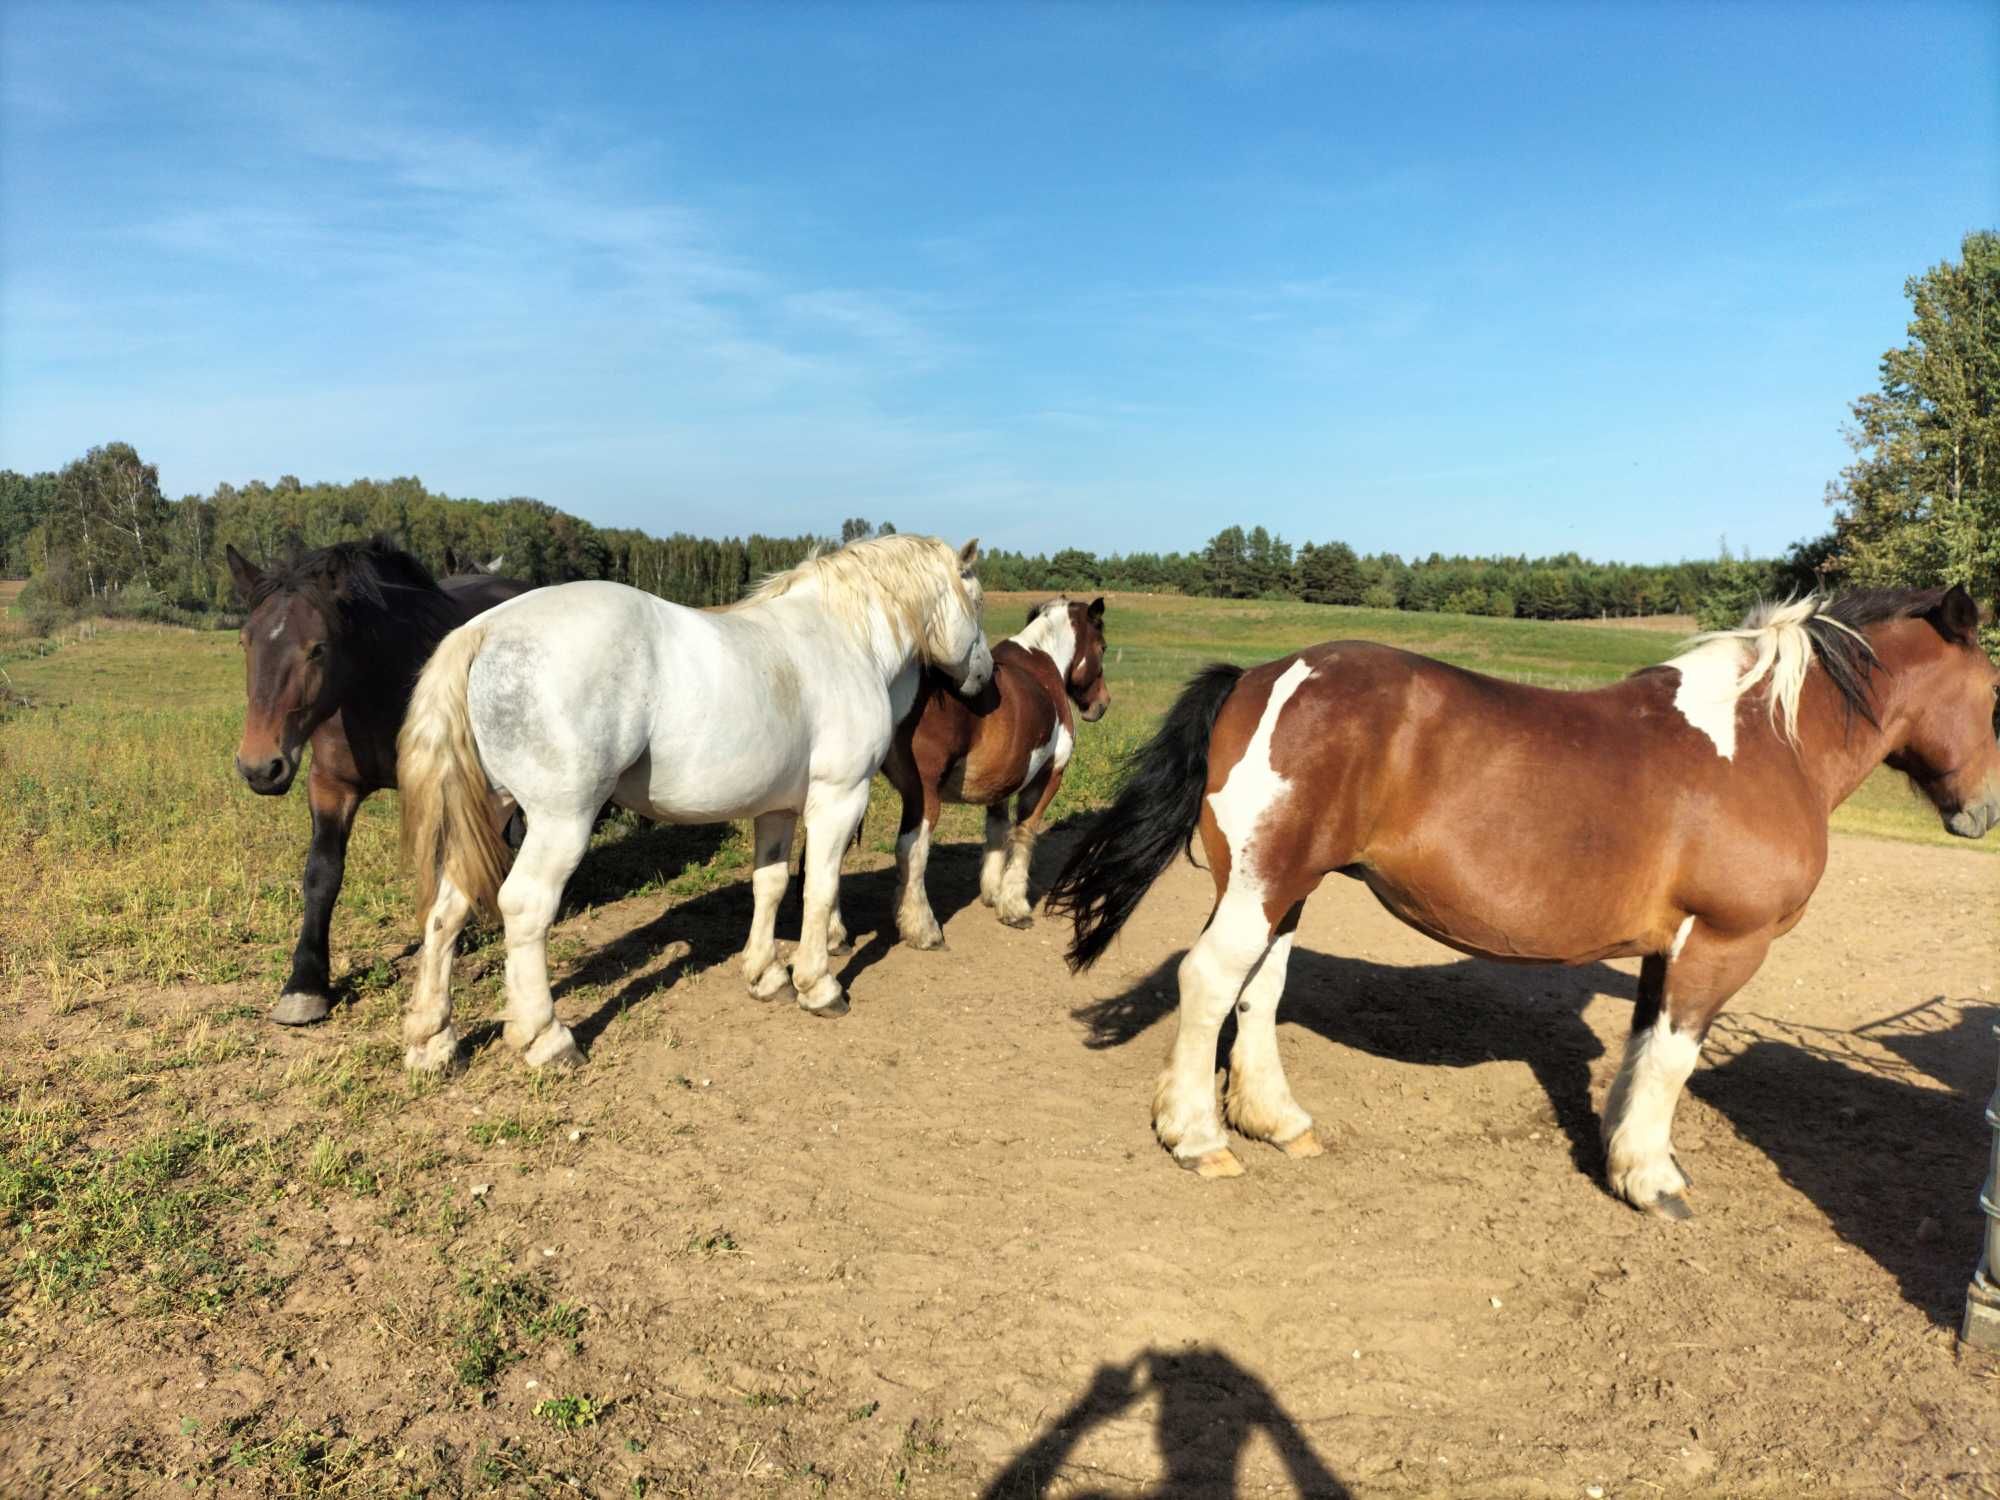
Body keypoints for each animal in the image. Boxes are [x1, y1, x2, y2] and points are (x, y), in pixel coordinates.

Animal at [227, 536, 532, 1032]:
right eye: (244, 641)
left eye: (318, 648)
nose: (260, 766)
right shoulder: (330, 786)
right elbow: (321, 873)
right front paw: (304, 984)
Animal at [392, 536, 992, 1072]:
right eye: (980, 601)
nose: (985, 679)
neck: (843, 639)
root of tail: (483, 628)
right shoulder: (838, 798)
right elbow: (820, 891)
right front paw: (818, 986)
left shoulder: (777, 810)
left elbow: (771, 886)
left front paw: (765, 976)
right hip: (561, 821)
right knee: (524, 908)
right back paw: (547, 1038)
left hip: (490, 812)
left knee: (448, 908)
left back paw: (433, 1042)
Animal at [888, 592, 1112, 944]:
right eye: (1102, 647)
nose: (1102, 703)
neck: (1043, 663)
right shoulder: (1049, 776)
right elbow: (1024, 834)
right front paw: (1015, 906)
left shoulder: (1001, 781)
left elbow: (996, 831)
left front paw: (992, 892)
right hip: (922, 795)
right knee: (911, 849)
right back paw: (922, 928)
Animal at [1048, 588, 2000, 1224]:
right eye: (1996, 695)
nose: (1984, 811)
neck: (1766, 743)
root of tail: (1261, 677)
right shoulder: (1723, 945)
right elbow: (1674, 1059)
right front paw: (1653, 1180)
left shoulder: (1667, 947)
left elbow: (1643, 1048)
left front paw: (1623, 1152)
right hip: (1261, 885)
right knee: (1211, 981)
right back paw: (1198, 1138)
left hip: (1284, 891)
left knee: (1260, 991)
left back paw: (1275, 1122)